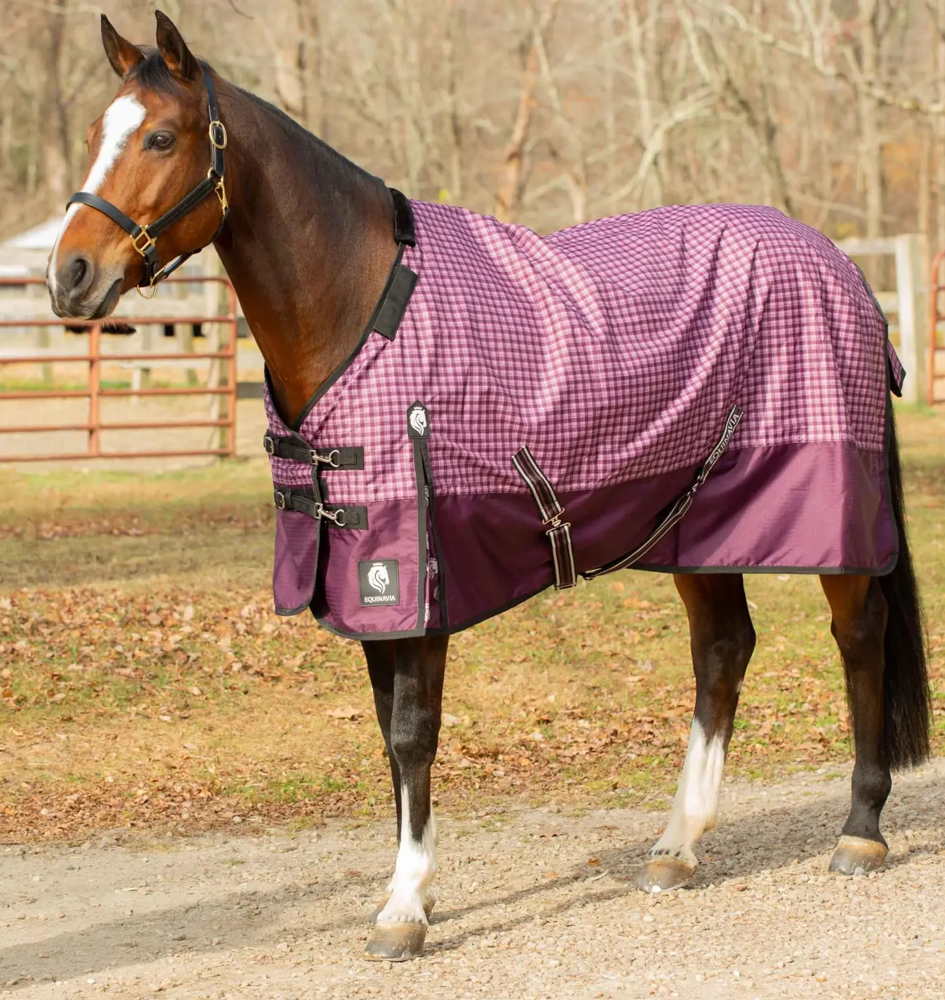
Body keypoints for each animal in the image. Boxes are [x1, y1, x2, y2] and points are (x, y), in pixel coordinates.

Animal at [47, 11, 932, 963]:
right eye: (95, 133)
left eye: (161, 137)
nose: (69, 276)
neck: (362, 306)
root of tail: (842, 268)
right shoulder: (368, 588)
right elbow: (388, 736)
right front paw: (410, 891)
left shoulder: (417, 579)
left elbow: (412, 733)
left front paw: (405, 908)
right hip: (695, 524)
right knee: (723, 652)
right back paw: (677, 846)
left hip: (833, 526)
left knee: (859, 638)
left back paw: (859, 830)